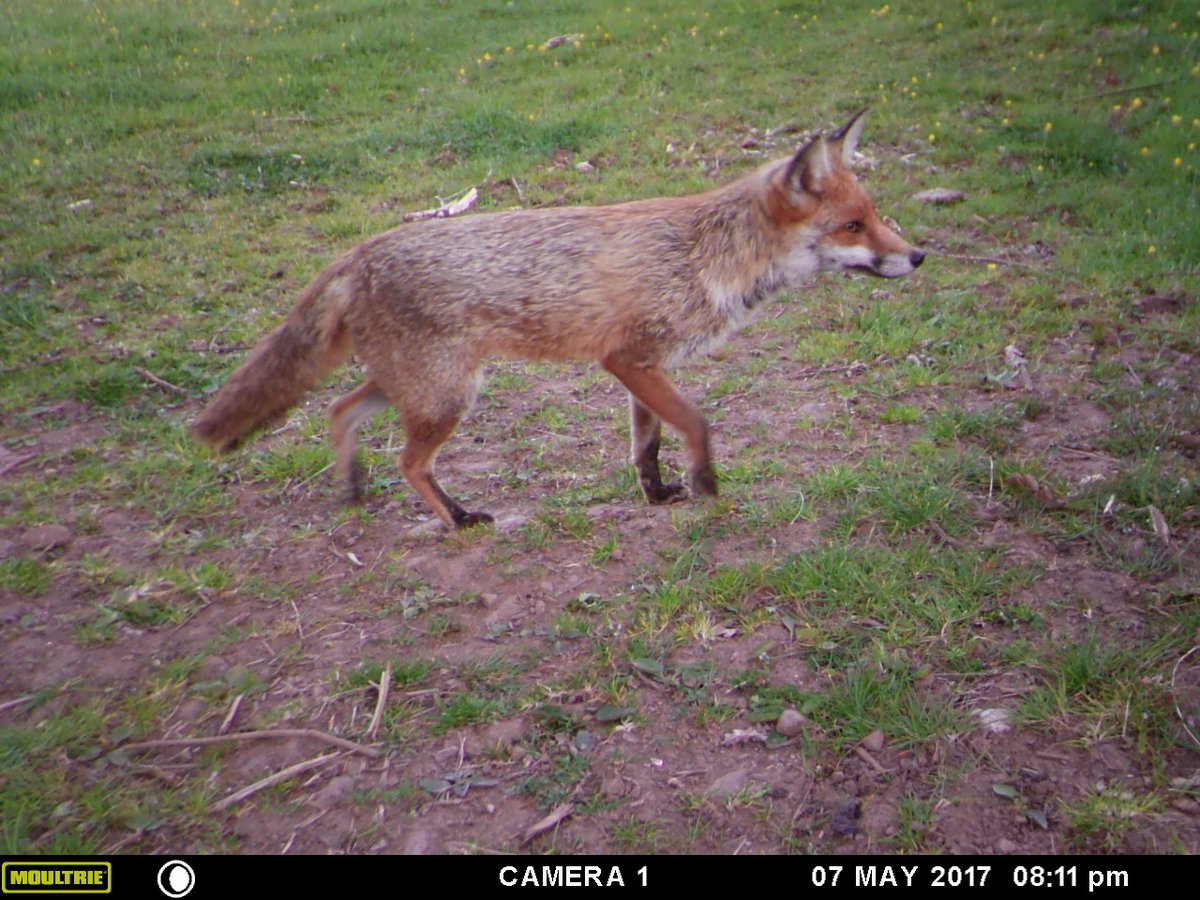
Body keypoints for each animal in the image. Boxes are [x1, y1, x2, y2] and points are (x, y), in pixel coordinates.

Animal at [191, 108, 924, 528]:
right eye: (853, 226)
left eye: (875, 215)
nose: (918, 255)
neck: (708, 255)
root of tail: (359, 251)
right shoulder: (628, 358)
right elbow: (698, 424)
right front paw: (706, 483)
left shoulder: (643, 368)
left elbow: (647, 445)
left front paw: (658, 495)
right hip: (447, 396)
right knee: (408, 462)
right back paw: (455, 518)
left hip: (415, 386)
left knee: (338, 410)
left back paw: (351, 490)